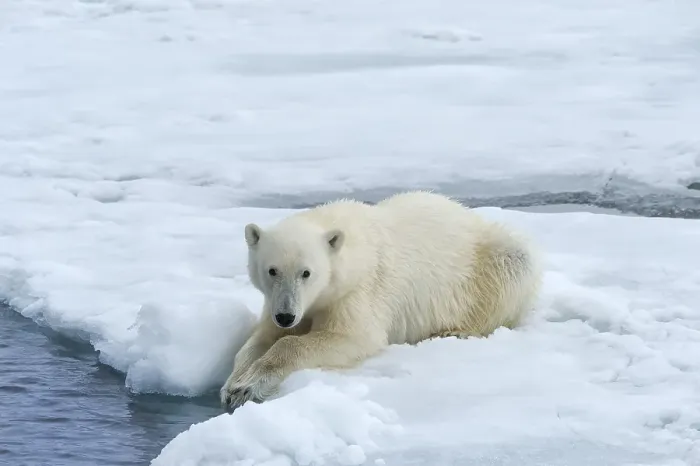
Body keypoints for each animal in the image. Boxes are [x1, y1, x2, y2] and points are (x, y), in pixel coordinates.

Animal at [220, 191, 542, 410]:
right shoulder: (280, 302)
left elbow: (352, 337)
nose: (286, 316)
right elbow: (260, 338)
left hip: (488, 261)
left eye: (306, 272)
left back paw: (455, 330)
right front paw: (233, 384)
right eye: (272, 270)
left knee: (513, 263)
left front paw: (249, 386)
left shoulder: (358, 292)